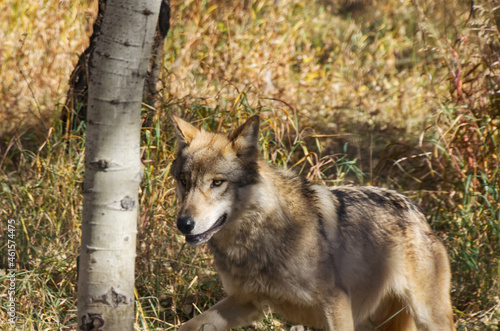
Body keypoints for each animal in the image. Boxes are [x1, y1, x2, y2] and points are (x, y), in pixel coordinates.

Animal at [172, 115, 458, 331]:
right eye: (184, 182)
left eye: (217, 182)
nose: (183, 223)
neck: (258, 237)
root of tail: (418, 213)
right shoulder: (245, 302)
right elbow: (188, 325)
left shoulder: (336, 302)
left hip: (428, 317)